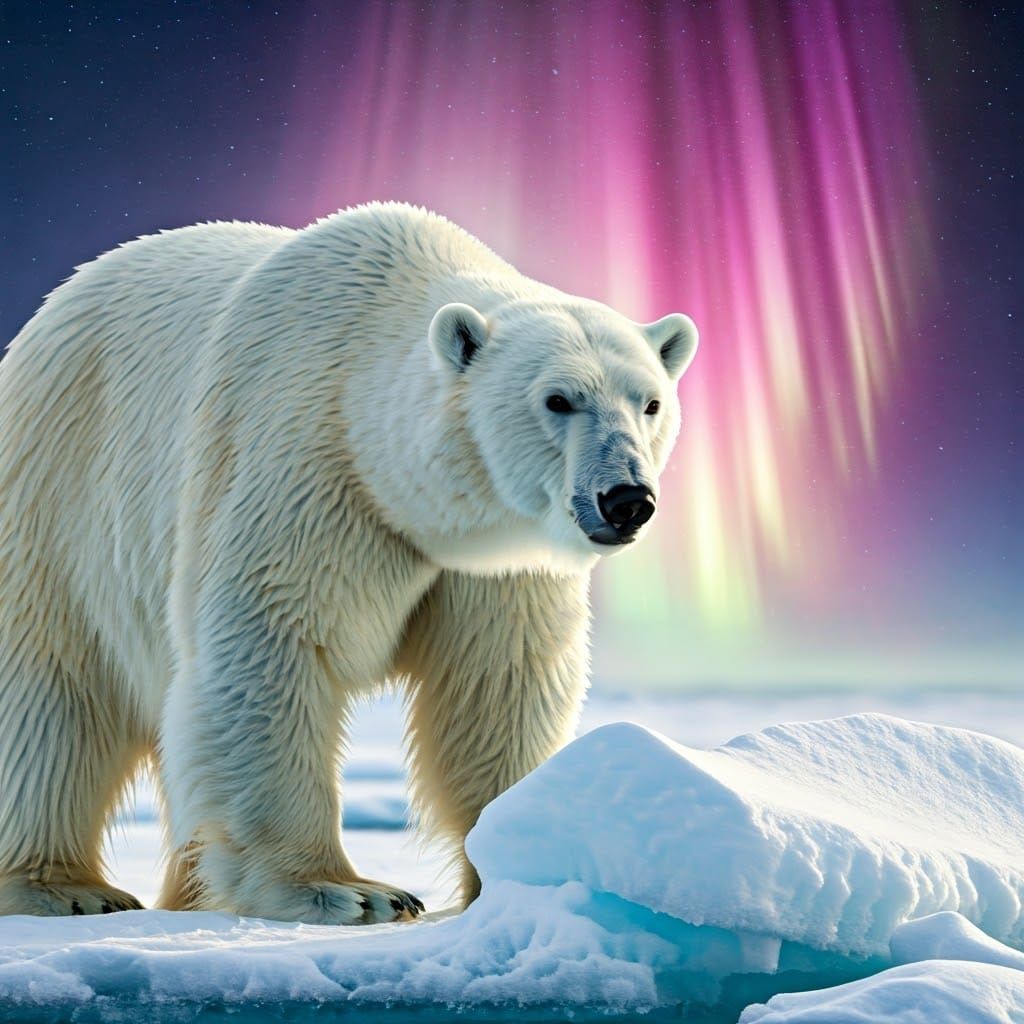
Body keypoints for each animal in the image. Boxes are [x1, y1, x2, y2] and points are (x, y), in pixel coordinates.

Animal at [0, 202, 698, 923]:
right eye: (558, 399)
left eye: (649, 402)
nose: (627, 499)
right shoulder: (297, 467)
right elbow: (267, 649)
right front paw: (348, 892)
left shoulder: (497, 561)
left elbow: (500, 682)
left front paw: (521, 860)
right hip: (59, 499)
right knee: (51, 695)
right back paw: (67, 889)